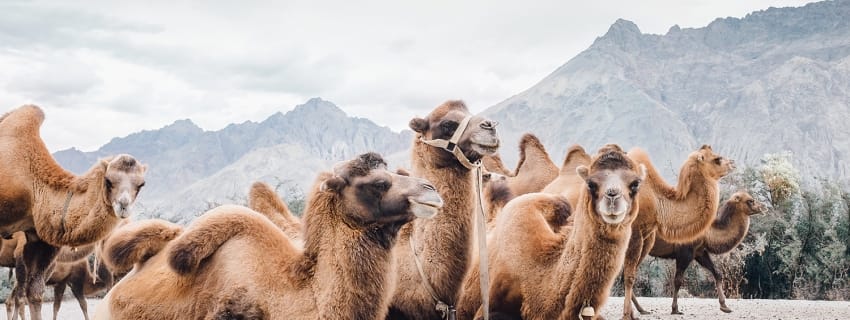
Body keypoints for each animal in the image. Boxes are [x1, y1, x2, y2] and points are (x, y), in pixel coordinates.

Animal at [0, 104, 147, 318]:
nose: (123, 206)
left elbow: (34, 294)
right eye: (108, 180)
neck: (31, 186)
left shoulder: (39, 240)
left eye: (141, 184)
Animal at [628, 191, 760, 314]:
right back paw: (640, 310)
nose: (762, 207)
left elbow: (717, 273)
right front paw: (675, 309)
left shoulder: (699, 252)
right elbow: (678, 280)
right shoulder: (685, 252)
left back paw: (641, 309)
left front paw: (724, 306)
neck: (708, 231)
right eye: (750, 201)